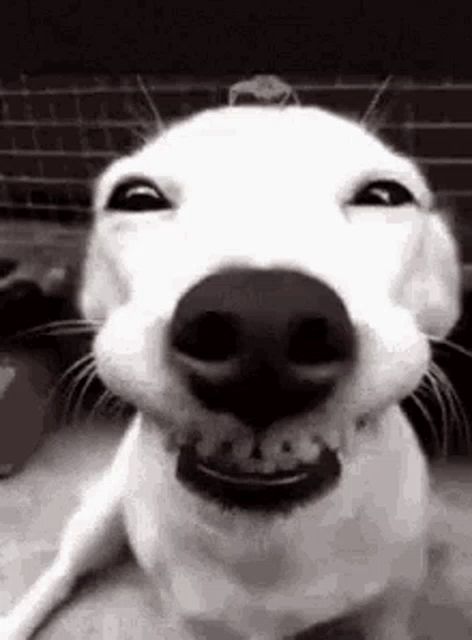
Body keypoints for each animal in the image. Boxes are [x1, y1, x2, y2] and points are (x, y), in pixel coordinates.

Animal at [0, 102, 460, 636]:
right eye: (136, 197)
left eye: (386, 194)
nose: (263, 322)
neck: (264, 552)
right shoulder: (191, 619)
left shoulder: (389, 610)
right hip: (100, 516)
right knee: (63, 571)